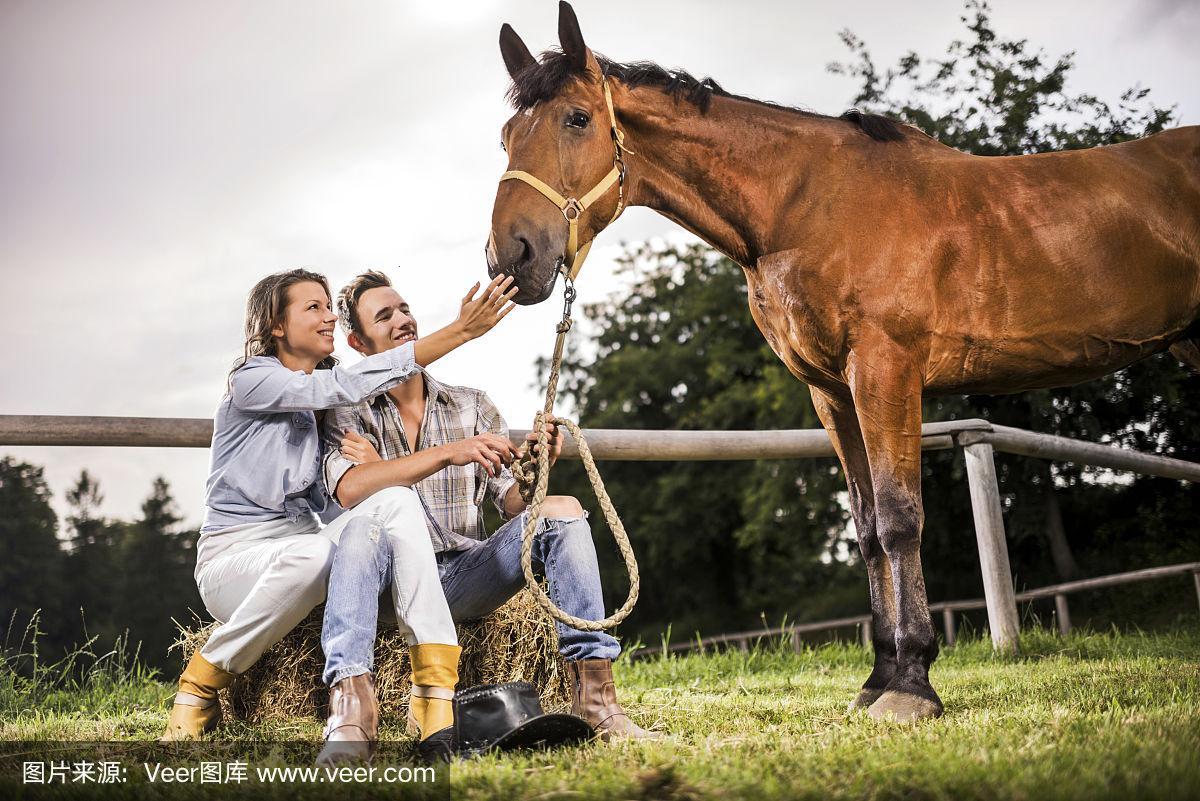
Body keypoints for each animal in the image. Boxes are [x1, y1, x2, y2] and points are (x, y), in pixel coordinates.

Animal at [484, 1, 1200, 724]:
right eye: (507, 134)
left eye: (577, 118)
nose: (511, 254)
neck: (807, 208)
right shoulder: (830, 390)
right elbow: (867, 527)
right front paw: (881, 675)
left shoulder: (885, 370)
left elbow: (900, 517)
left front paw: (911, 684)